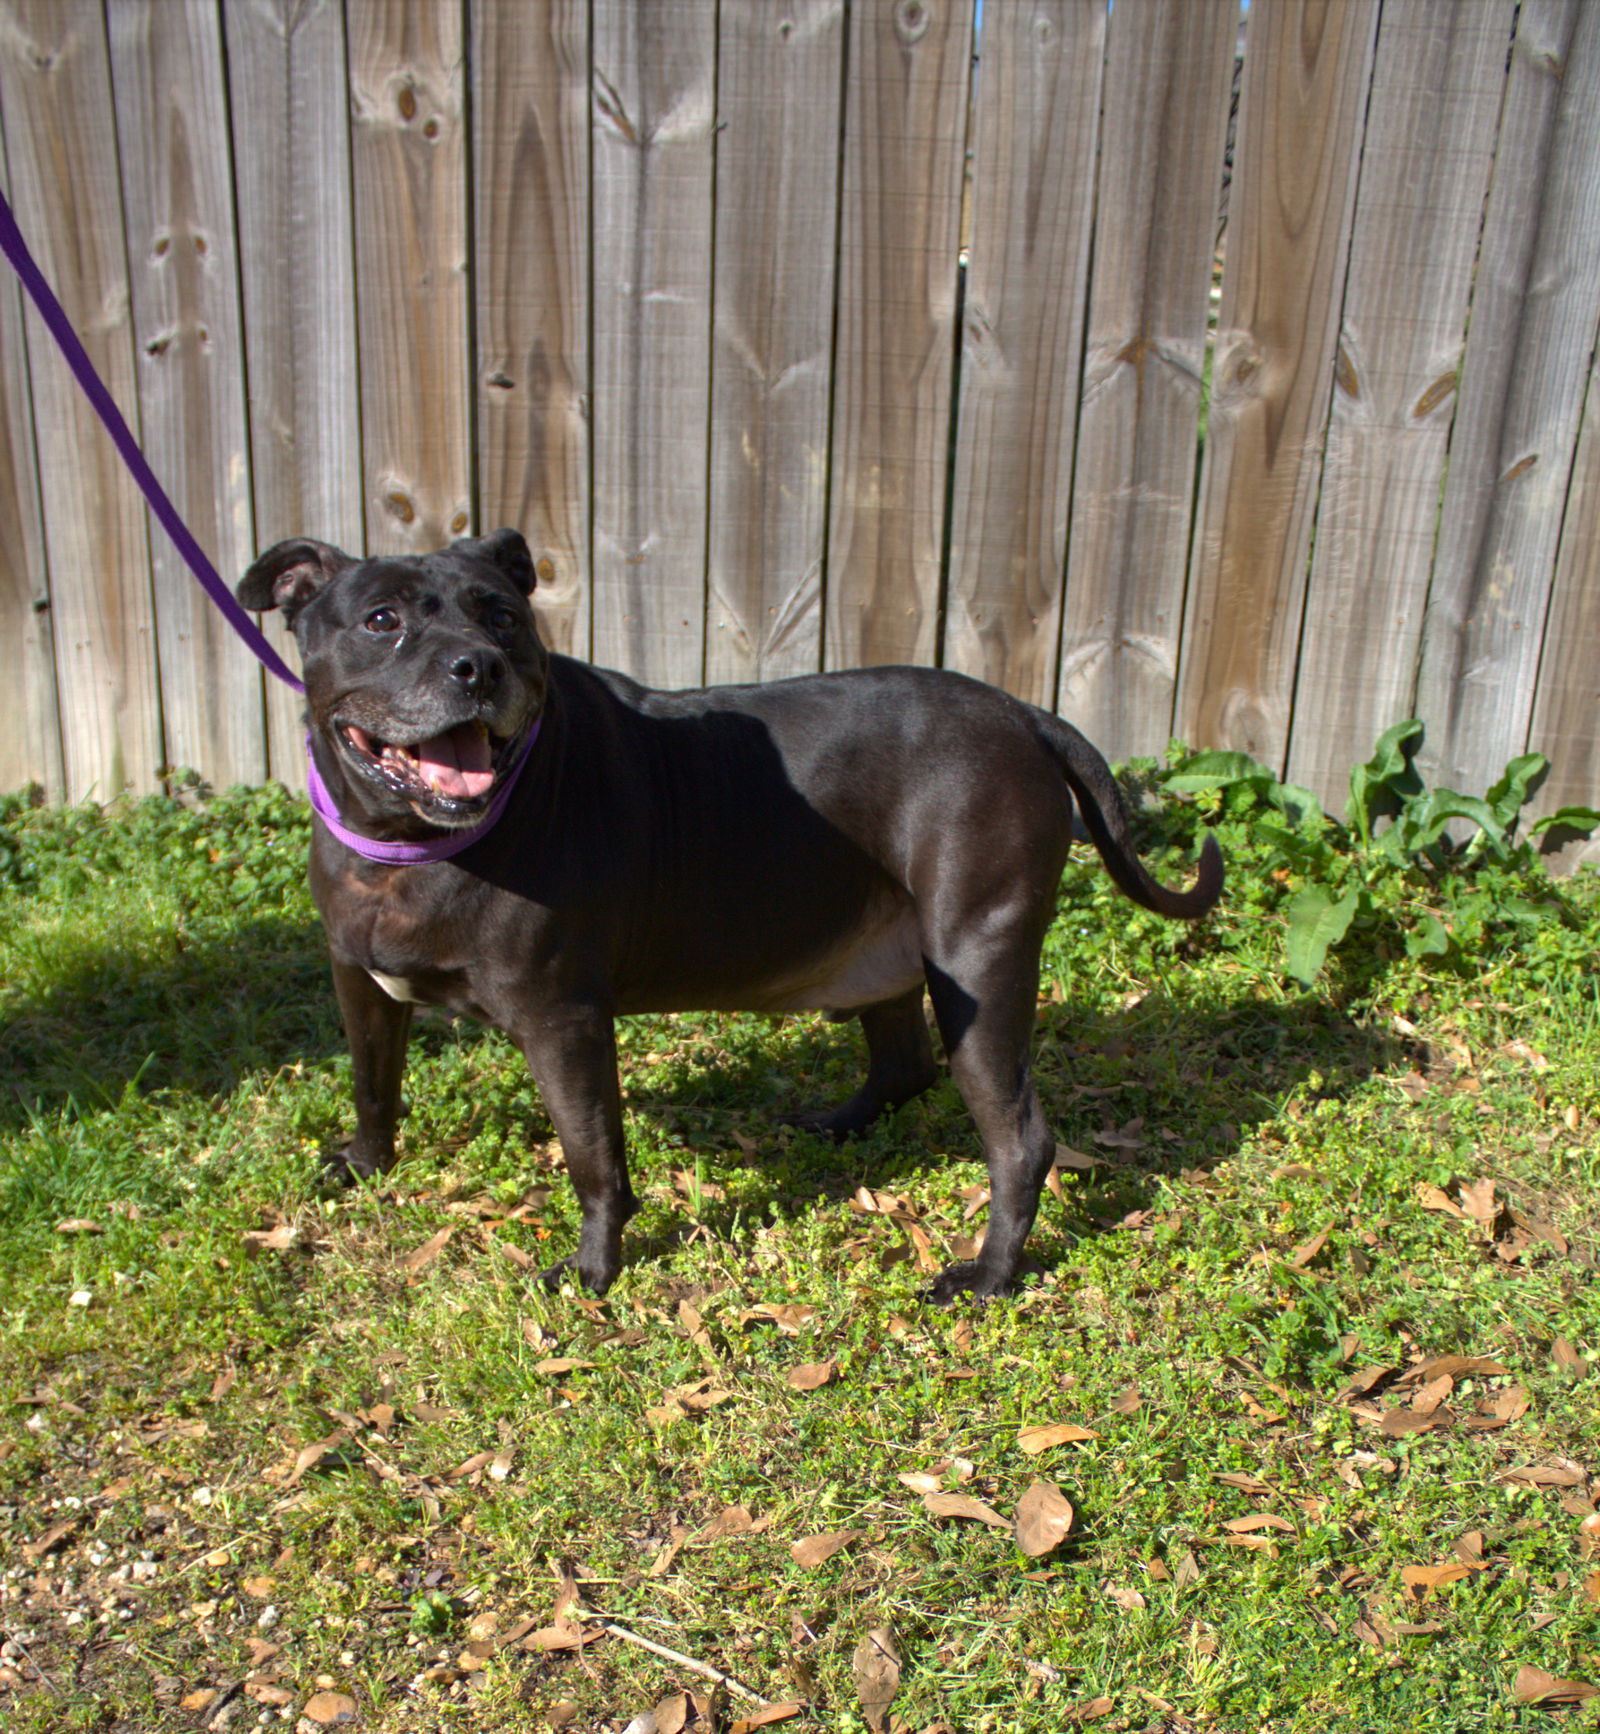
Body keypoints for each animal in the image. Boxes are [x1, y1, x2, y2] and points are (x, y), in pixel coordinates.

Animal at [237, 527, 1220, 1303]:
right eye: (381, 620)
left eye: (503, 616)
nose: (476, 666)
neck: (408, 845)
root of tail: (1027, 714)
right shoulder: (359, 982)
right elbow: (374, 1084)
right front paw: (366, 1166)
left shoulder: (561, 1021)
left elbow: (594, 1158)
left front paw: (593, 1272)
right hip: (891, 956)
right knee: (904, 1062)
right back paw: (838, 1126)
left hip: (977, 970)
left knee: (1019, 1139)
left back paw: (987, 1276)